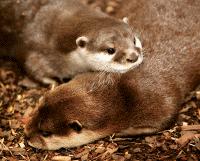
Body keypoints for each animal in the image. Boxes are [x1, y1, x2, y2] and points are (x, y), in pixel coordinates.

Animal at [0, 0, 143, 83]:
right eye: (110, 50)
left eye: (134, 40)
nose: (134, 57)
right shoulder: (38, 50)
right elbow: (32, 67)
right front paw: (53, 83)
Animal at [24, 0, 199, 150]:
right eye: (35, 111)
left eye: (45, 132)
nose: (27, 136)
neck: (122, 95)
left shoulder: (160, 103)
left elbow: (165, 121)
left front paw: (123, 133)